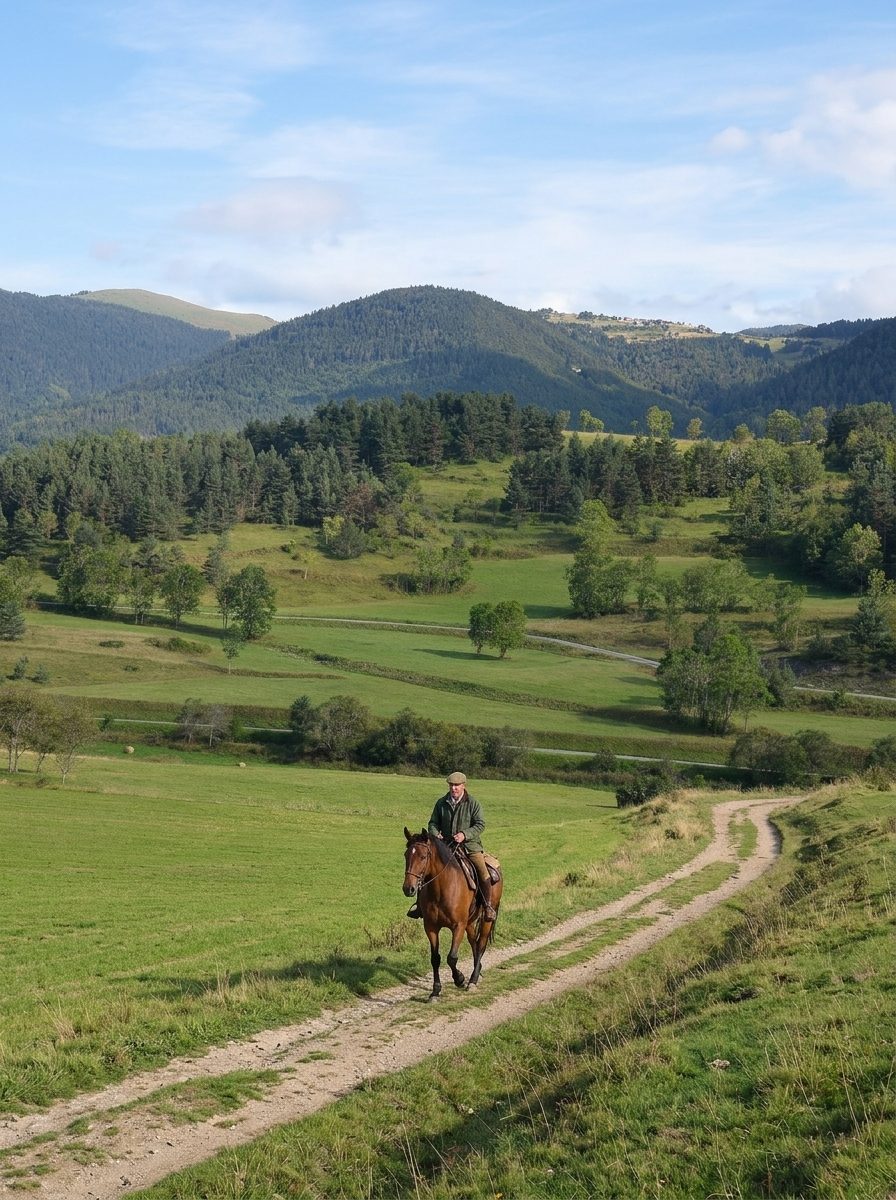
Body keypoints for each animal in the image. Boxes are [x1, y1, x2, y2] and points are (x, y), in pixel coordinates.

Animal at [402, 827, 503, 1000]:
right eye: (406, 855)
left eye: (423, 856)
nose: (409, 888)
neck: (441, 889)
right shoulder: (431, 927)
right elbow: (435, 958)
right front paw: (435, 991)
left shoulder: (458, 926)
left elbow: (451, 958)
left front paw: (460, 979)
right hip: (469, 922)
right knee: (474, 942)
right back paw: (478, 972)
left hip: (486, 919)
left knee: (481, 944)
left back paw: (473, 980)